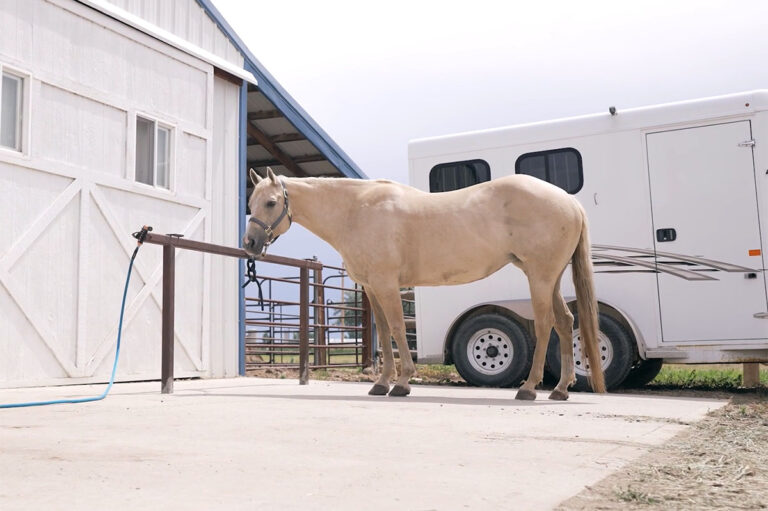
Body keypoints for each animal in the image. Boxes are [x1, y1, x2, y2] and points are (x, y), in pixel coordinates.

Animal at [243, 167, 606, 400]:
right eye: (250, 204)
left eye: (271, 203)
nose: (249, 244)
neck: (357, 211)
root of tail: (570, 202)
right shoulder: (372, 287)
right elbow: (383, 331)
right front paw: (381, 383)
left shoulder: (387, 284)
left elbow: (398, 329)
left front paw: (402, 382)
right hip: (550, 277)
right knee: (565, 322)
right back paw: (560, 389)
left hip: (539, 277)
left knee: (545, 324)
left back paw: (529, 388)